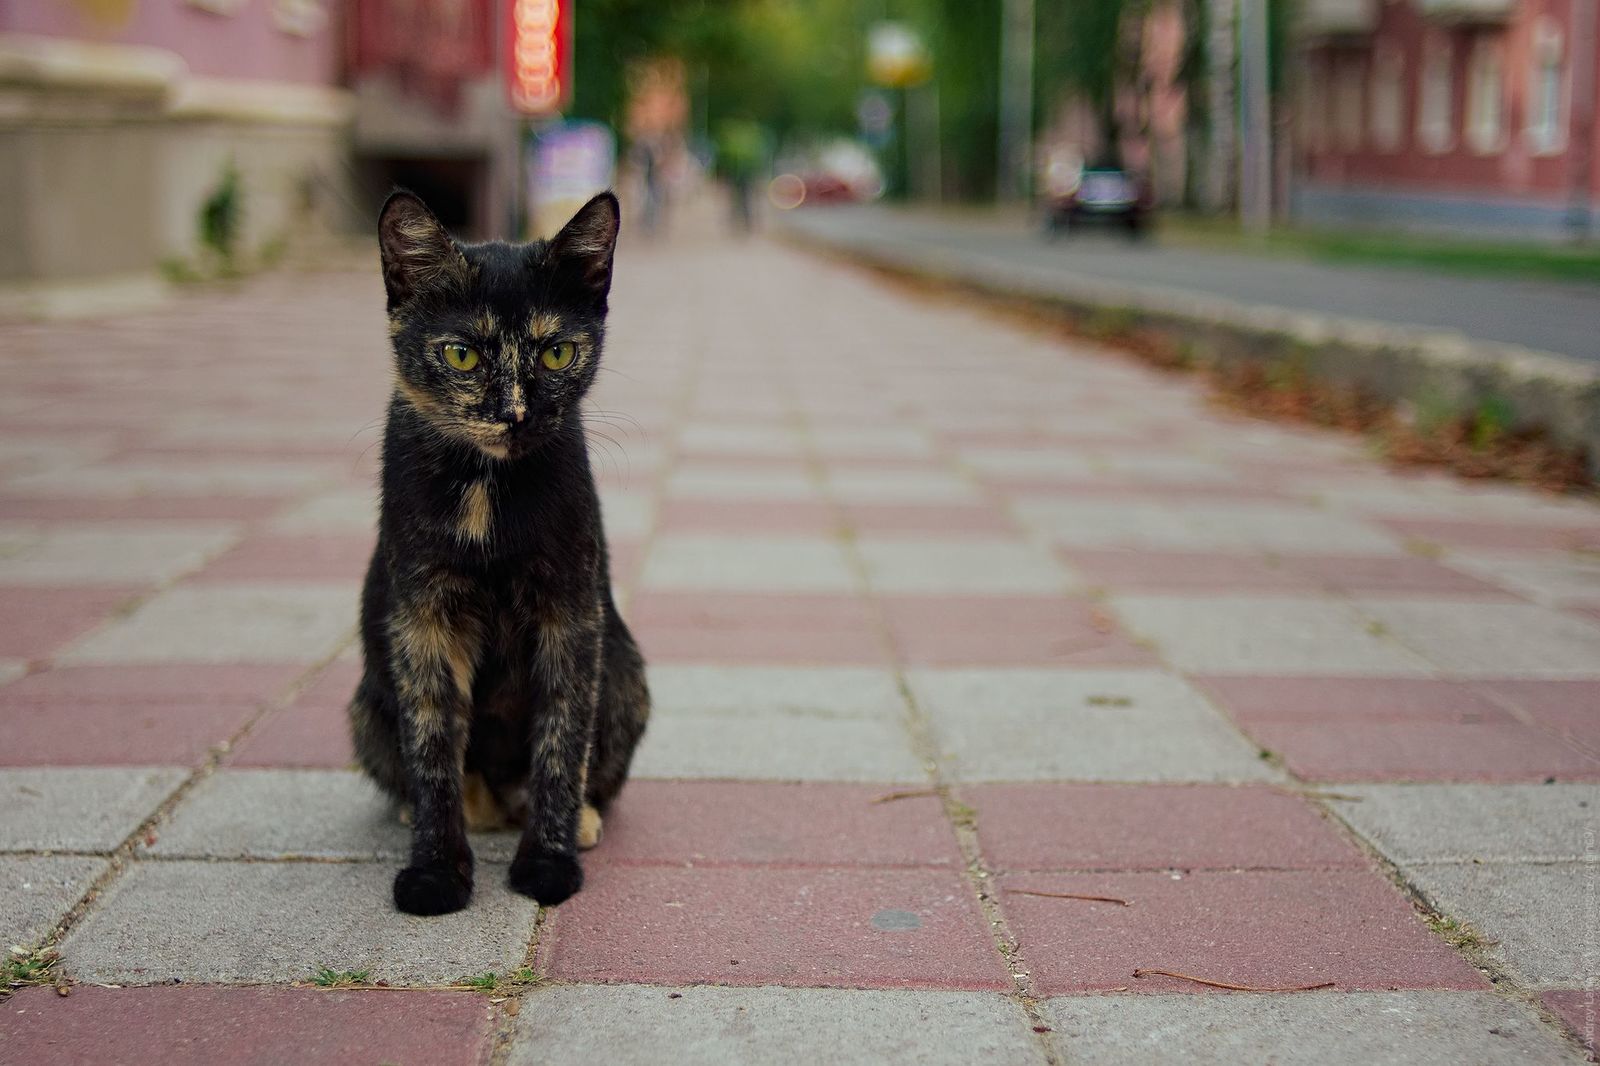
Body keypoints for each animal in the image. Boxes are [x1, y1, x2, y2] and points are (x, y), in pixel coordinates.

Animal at [350, 191, 649, 915]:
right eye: (461, 356)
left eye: (558, 352)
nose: (515, 412)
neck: (487, 489)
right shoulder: (421, 616)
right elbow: (433, 747)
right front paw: (435, 871)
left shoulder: (571, 611)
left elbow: (561, 740)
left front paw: (548, 861)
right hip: (366, 706)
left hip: (626, 675)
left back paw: (579, 818)